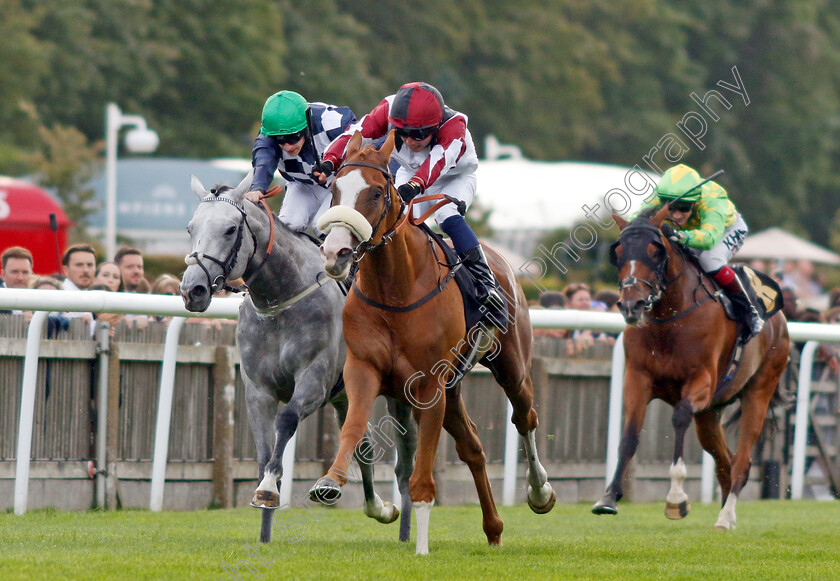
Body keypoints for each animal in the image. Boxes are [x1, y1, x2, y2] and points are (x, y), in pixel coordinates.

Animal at [181, 170, 416, 540]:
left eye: (230, 229)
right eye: (191, 228)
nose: (192, 290)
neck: (280, 298)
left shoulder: (314, 380)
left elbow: (287, 419)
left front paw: (268, 490)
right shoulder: (258, 391)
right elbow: (265, 451)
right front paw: (265, 517)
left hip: (397, 394)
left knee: (405, 460)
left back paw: (404, 524)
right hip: (346, 394)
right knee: (362, 445)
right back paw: (375, 506)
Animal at [308, 130, 556, 552]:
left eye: (376, 192)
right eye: (335, 189)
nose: (335, 252)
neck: (395, 289)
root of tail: (503, 263)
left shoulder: (428, 385)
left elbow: (422, 471)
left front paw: (421, 546)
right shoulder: (364, 369)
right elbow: (354, 427)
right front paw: (331, 481)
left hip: (511, 367)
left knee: (525, 416)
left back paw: (539, 492)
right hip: (453, 388)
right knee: (473, 448)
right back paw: (493, 529)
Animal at [592, 206, 788, 528]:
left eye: (655, 251)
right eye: (618, 251)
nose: (631, 305)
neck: (669, 318)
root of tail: (780, 318)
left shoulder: (702, 380)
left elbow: (680, 416)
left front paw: (676, 498)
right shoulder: (637, 378)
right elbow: (629, 435)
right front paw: (608, 498)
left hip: (759, 391)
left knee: (742, 461)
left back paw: (726, 516)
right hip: (709, 414)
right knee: (724, 460)